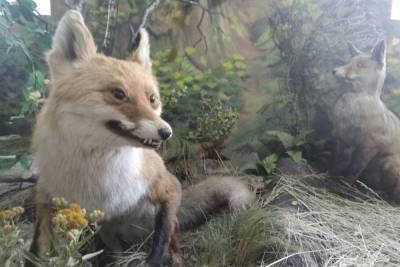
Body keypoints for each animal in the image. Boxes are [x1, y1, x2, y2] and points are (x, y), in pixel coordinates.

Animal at [28, 10, 255, 267]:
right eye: (119, 94)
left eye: (152, 99)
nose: (166, 132)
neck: (101, 186)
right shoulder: (48, 199)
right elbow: (42, 246)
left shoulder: (168, 187)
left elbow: (162, 236)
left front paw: (156, 260)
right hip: (108, 230)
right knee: (115, 250)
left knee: (173, 234)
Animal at [332, 40, 400, 201]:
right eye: (349, 62)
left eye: (360, 65)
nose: (334, 70)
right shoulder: (341, 136)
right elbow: (337, 161)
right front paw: (328, 175)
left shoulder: (369, 146)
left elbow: (354, 169)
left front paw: (343, 186)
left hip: (390, 163)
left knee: (393, 194)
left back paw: (380, 196)